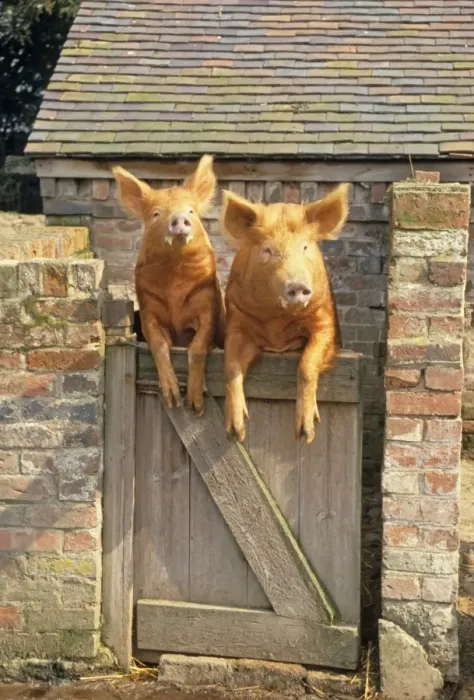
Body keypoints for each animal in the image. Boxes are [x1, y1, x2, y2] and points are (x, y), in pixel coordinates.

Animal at [113, 155, 225, 415]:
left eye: (191, 210)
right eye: (156, 214)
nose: (179, 218)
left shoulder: (208, 302)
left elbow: (198, 345)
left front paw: (195, 406)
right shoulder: (148, 308)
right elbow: (158, 344)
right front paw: (173, 401)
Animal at [221, 184, 349, 444]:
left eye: (305, 247)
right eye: (267, 250)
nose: (297, 285)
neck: (277, 325)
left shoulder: (326, 322)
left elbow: (307, 365)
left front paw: (305, 434)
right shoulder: (237, 322)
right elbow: (231, 366)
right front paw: (236, 432)